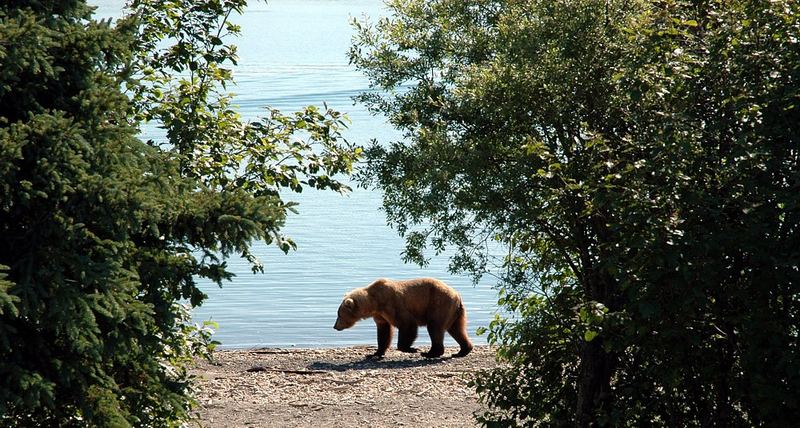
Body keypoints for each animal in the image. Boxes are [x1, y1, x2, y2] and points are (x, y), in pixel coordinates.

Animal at [332, 278, 472, 358]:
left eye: (339, 314)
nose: (334, 326)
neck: (375, 302)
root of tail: (457, 295)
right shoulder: (380, 315)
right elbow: (384, 332)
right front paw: (375, 353)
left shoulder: (393, 304)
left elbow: (407, 324)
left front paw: (411, 348)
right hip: (455, 312)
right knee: (456, 330)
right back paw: (462, 351)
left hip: (439, 305)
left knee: (435, 328)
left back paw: (430, 353)